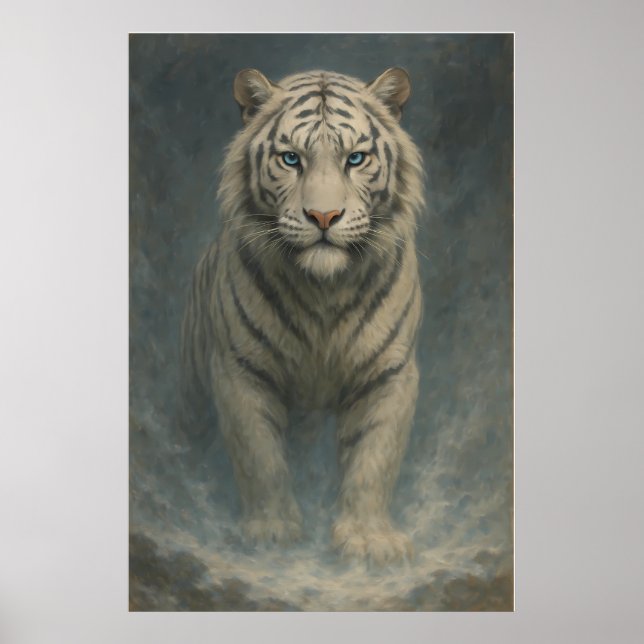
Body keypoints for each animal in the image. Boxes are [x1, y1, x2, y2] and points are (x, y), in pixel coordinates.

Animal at [180, 67, 425, 564]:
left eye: (355, 158)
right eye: (291, 158)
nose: (324, 216)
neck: (323, 292)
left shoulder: (389, 373)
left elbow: (374, 458)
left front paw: (370, 539)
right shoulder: (240, 369)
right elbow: (260, 457)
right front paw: (271, 531)